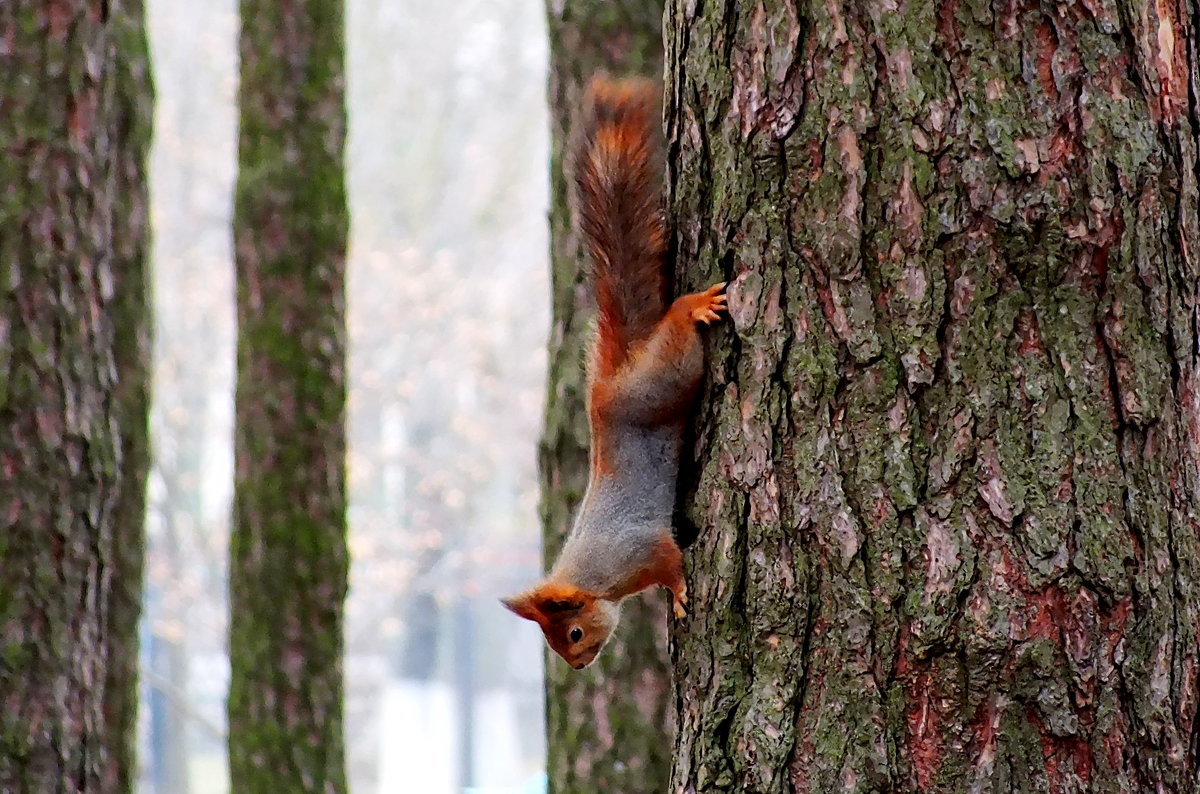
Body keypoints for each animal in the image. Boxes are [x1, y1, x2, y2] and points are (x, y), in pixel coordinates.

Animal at [496, 74, 720, 671]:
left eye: (571, 634)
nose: (577, 666)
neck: (597, 578)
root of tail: (608, 385)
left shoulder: (642, 547)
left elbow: (670, 561)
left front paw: (678, 592)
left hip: (663, 380)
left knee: (677, 331)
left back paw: (692, 306)